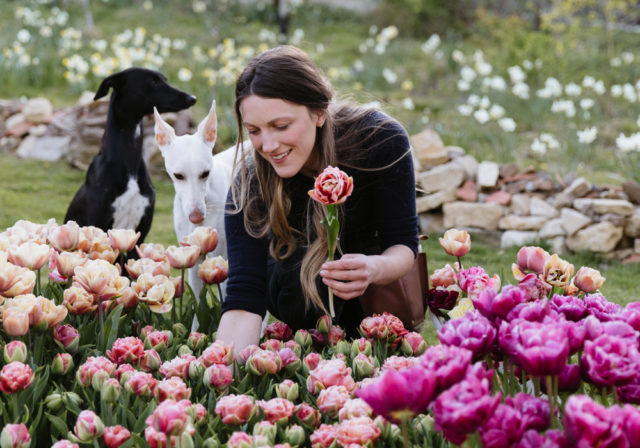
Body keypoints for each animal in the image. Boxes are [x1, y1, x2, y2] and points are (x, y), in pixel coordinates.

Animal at [65, 67, 196, 245]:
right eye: (153, 82)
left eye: (165, 79)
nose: (192, 98)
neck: (129, 165)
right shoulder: (99, 224)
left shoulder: (141, 232)